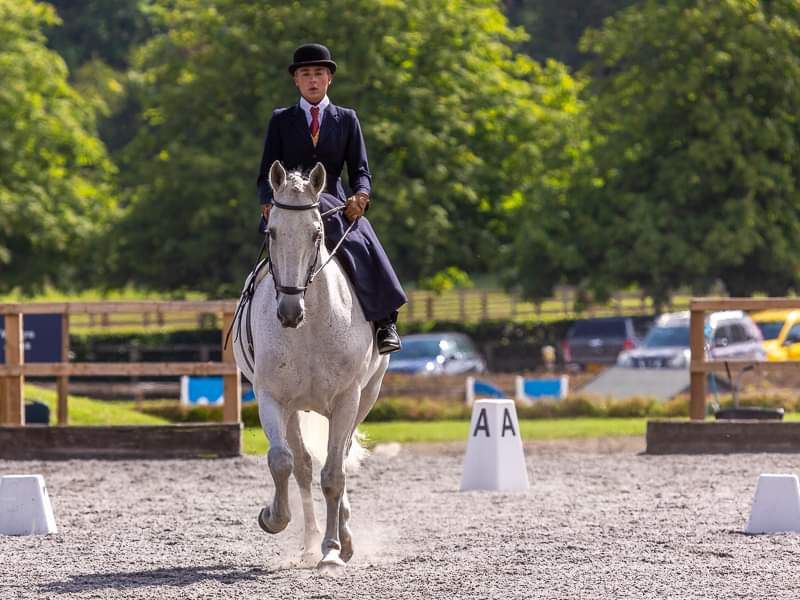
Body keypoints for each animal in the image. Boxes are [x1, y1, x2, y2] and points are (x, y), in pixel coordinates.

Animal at [231, 161, 388, 572]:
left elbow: (333, 475)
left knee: (340, 459)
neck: (311, 323)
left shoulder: (348, 399)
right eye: (271, 232)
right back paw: (307, 542)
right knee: (301, 465)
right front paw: (273, 518)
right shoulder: (272, 398)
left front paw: (332, 550)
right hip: (295, 409)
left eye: (316, 233)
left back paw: (342, 539)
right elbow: (282, 461)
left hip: (366, 396)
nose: (289, 311)